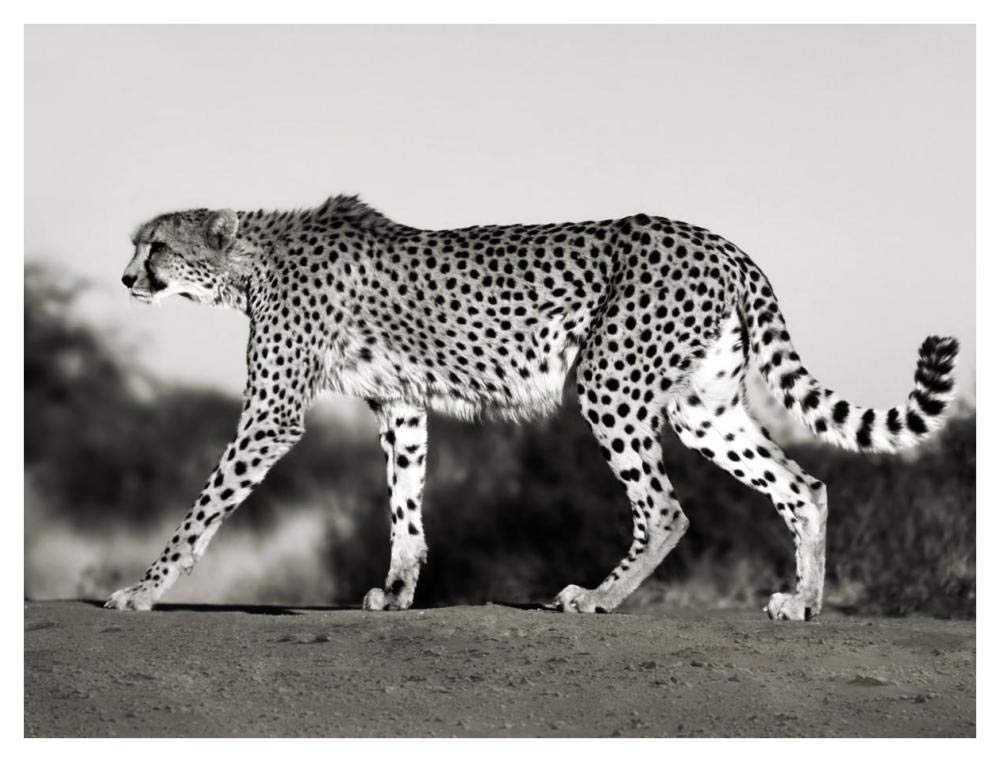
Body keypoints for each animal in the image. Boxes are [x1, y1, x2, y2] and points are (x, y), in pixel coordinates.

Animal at [107, 195, 959, 619]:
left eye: (156, 247)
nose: (125, 279)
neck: (250, 261)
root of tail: (719, 241)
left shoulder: (273, 412)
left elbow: (204, 508)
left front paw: (143, 589)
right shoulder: (401, 403)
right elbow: (405, 504)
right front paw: (398, 591)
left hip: (610, 381)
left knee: (666, 508)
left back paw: (598, 596)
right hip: (703, 407)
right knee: (804, 485)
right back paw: (802, 602)